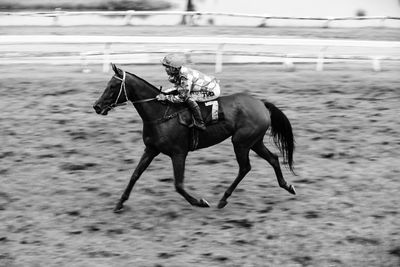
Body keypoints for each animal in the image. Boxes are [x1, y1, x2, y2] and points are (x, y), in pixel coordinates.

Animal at [92, 63, 296, 213]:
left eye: (113, 86)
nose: (96, 106)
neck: (160, 114)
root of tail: (262, 103)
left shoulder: (178, 153)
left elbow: (178, 185)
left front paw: (200, 202)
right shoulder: (151, 149)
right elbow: (135, 175)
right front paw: (119, 203)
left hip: (241, 142)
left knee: (245, 167)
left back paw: (223, 199)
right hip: (254, 142)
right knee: (273, 158)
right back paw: (287, 186)